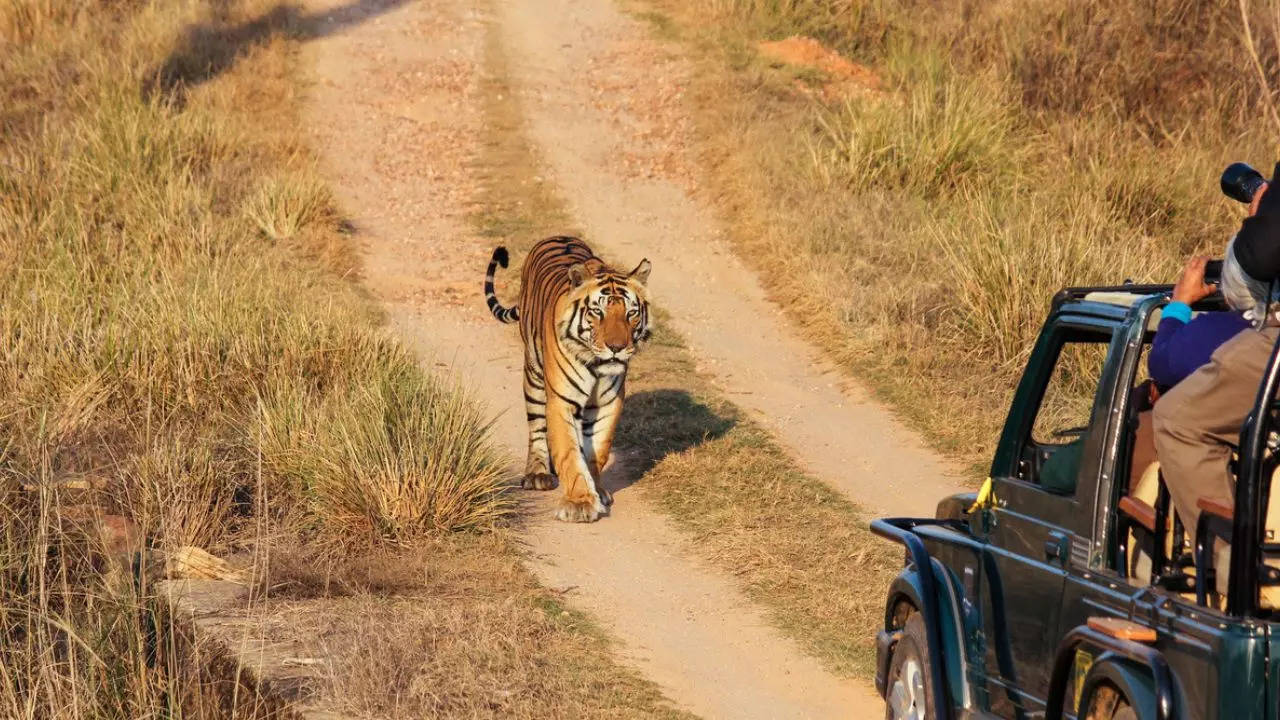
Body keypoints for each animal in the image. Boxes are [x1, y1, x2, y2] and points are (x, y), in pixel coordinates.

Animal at [483, 235, 655, 520]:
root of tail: (558, 236)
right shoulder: (561, 401)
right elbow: (569, 452)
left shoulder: (608, 403)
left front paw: (597, 490)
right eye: (597, 312)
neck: (597, 366)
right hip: (534, 375)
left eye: (631, 313)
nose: (617, 347)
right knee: (537, 427)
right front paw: (580, 502)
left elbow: (597, 450)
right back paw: (538, 474)